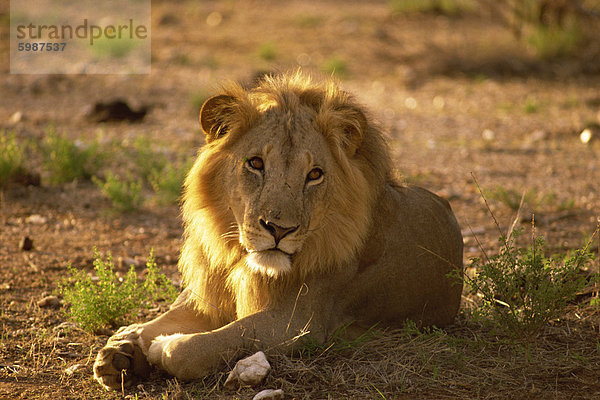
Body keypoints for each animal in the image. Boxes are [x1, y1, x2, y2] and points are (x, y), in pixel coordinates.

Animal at [92, 70, 464, 390]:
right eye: (255, 163)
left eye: (314, 174)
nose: (278, 230)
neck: (241, 260)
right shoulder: (209, 295)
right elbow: (163, 319)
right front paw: (120, 351)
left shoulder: (299, 324)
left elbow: (204, 346)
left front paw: (161, 347)